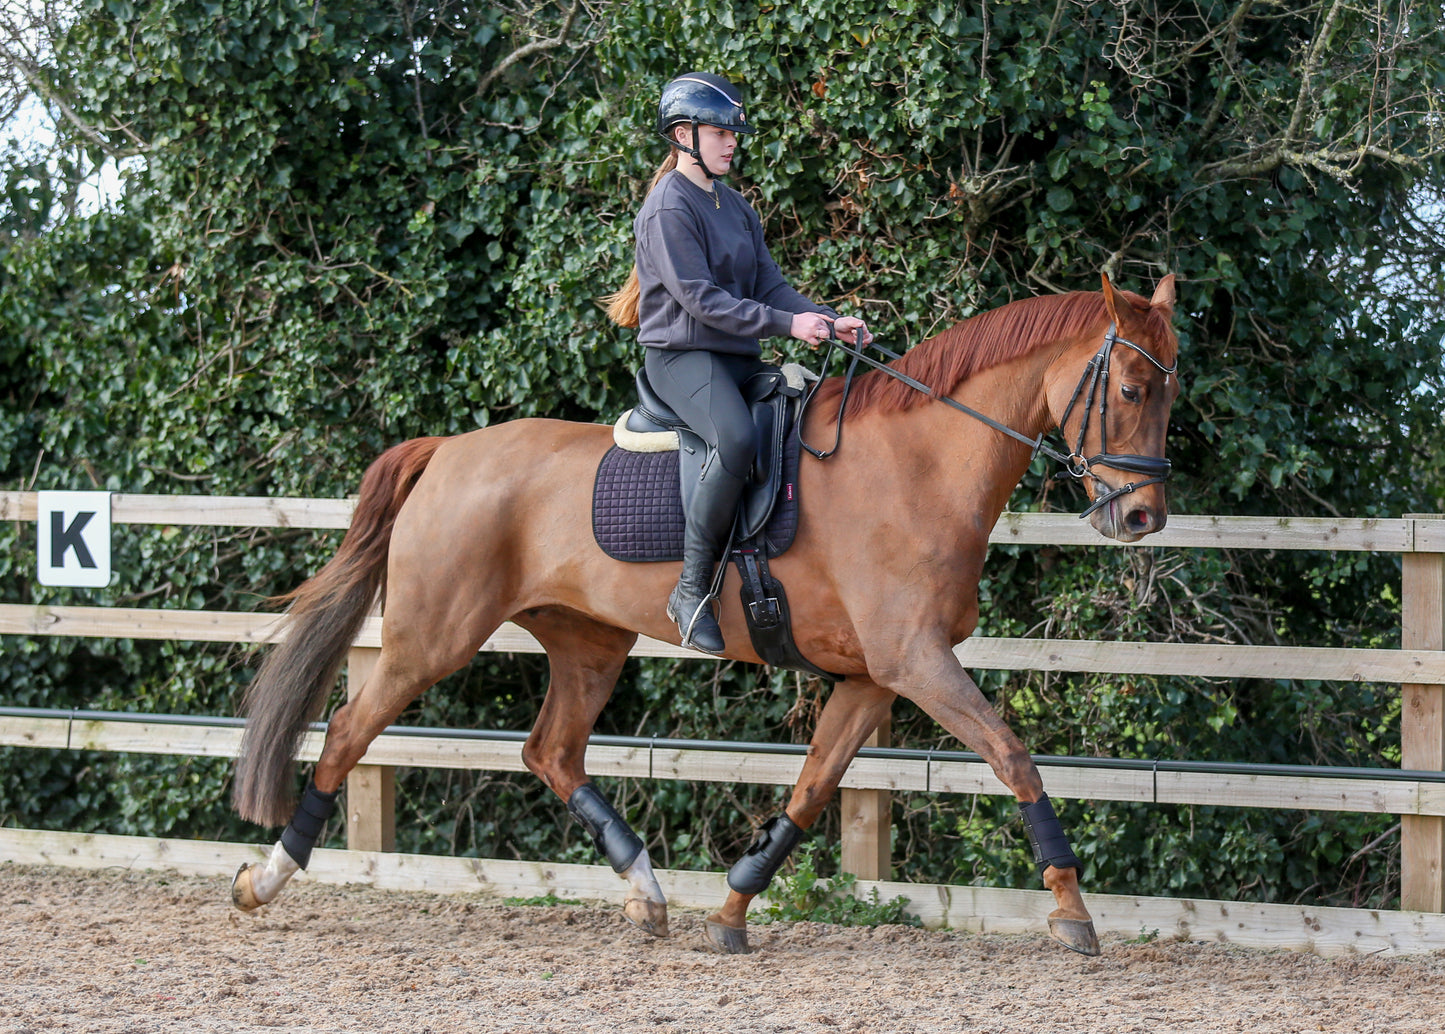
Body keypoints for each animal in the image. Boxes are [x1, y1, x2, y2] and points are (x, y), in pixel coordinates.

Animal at [225, 272, 1173, 953]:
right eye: (1130, 388)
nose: (1141, 519)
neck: (919, 464)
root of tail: (450, 449)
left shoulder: (874, 675)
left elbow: (811, 788)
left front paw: (730, 910)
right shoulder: (915, 661)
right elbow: (1013, 756)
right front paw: (1072, 911)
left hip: (589, 642)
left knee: (551, 753)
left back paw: (646, 895)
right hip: (431, 637)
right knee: (348, 734)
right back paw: (262, 882)